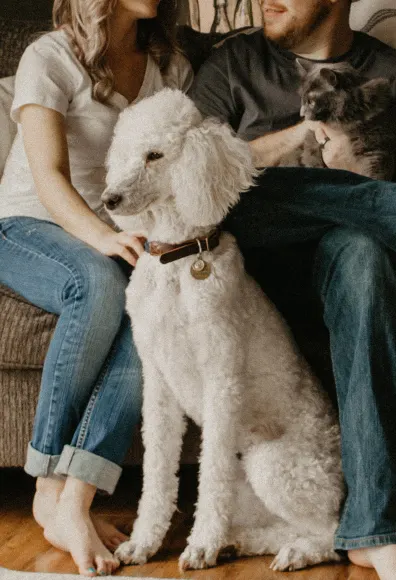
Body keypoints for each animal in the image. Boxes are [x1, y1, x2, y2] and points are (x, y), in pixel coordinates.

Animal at [101, 88, 344, 572]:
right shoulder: (157, 384)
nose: (108, 199)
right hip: (253, 489)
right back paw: (240, 542)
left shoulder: (222, 380)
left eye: (155, 155)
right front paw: (144, 542)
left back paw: (294, 553)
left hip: (273, 463)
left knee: (333, 533)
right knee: (284, 526)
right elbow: (157, 471)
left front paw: (201, 545)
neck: (176, 262)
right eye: (124, 152)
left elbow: (211, 474)